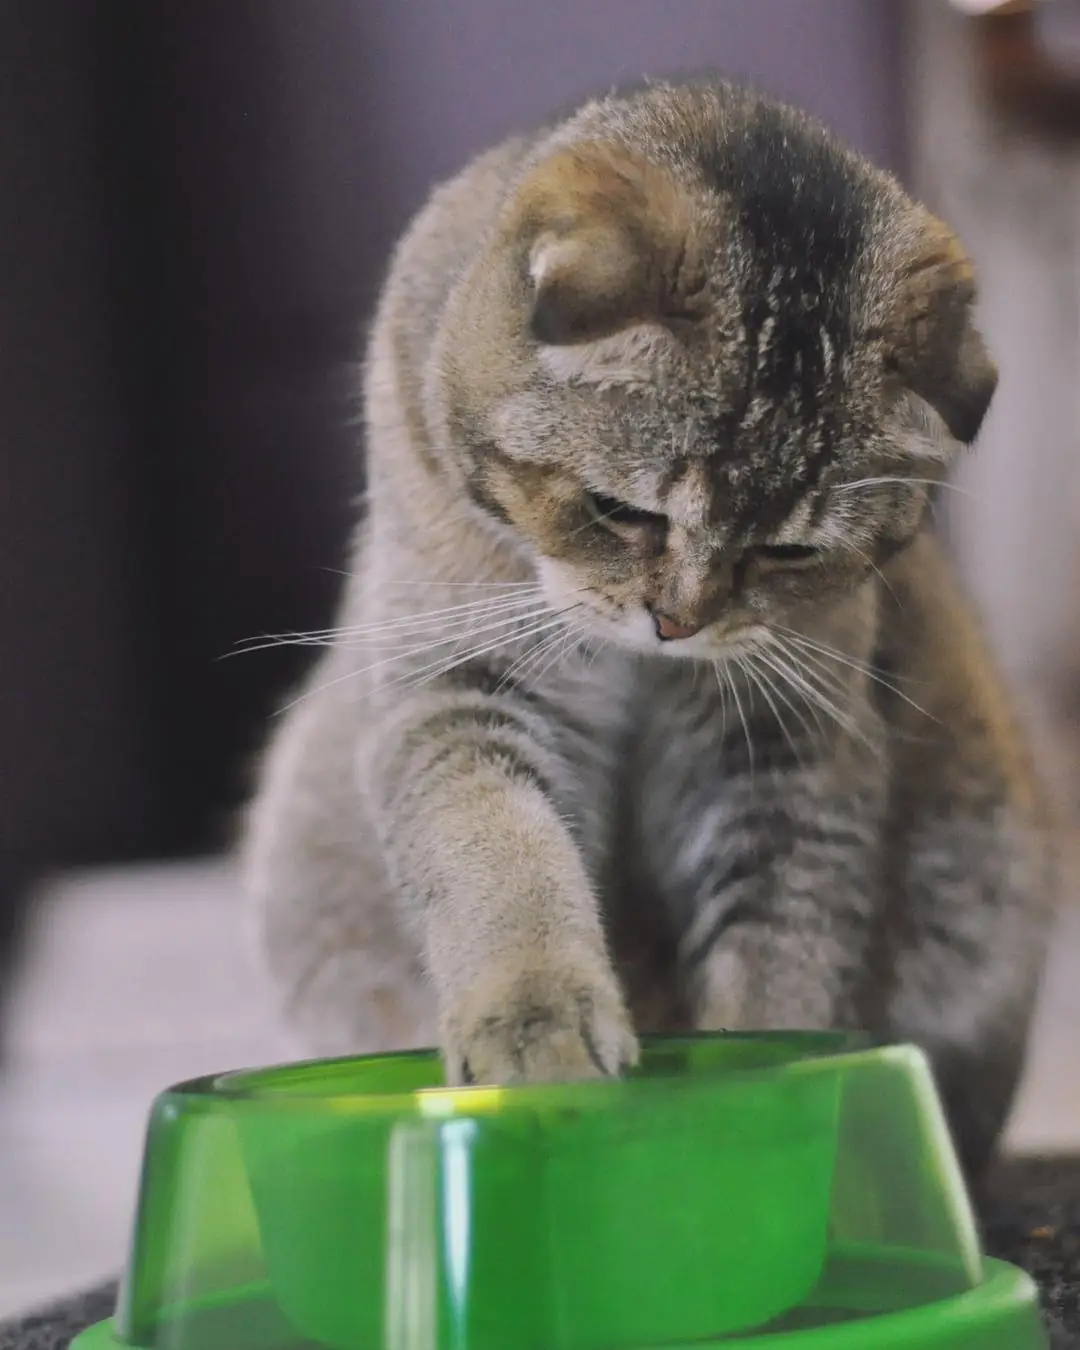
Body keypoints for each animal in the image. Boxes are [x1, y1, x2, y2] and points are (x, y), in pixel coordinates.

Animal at [241, 78, 1055, 1181]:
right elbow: (503, 859)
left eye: (789, 553)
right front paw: (537, 1025)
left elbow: (780, 953)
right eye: (622, 511)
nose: (678, 622)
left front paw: (762, 1099)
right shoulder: (460, 685)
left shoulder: (786, 752)